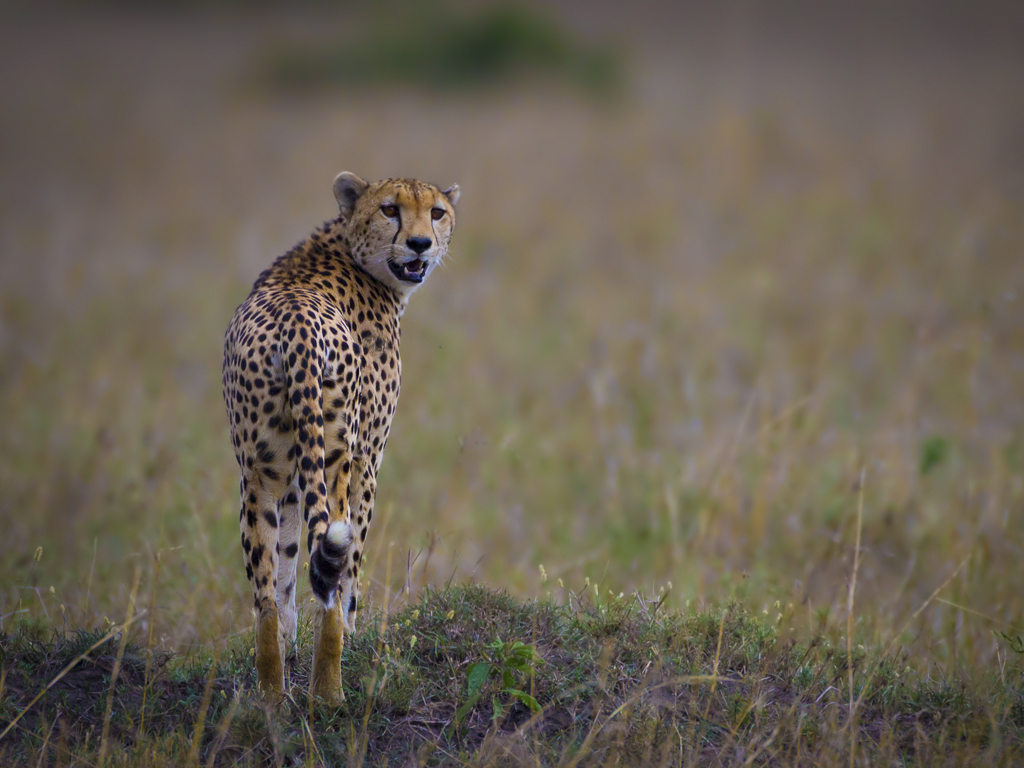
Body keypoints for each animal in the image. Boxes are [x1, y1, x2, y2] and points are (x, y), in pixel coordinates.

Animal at [226, 171, 462, 700]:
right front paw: (352, 639)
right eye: (390, 209)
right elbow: (349, 565)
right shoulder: (367, 460)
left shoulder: (290, 475)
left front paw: (292, 650)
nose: (420, 244)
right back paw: (330, 690)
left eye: (436, 212)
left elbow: (288, 571)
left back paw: (270, 697)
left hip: (259, 473)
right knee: (335, 566)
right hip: (336, 462)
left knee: (265, 592)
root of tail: (294, 324)